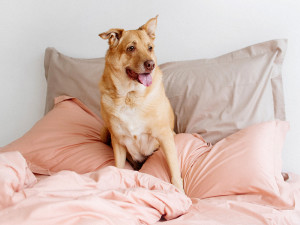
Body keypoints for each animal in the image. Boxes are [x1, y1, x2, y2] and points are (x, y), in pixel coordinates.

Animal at [98, 16, 183, 192]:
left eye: (150, 48)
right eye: (131, 48)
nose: (151, 65)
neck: (130, 97)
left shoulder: (165, 136)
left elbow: (174, 170)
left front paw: (180, 190)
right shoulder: (118, 140)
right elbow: (118, 167)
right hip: (105, 132)